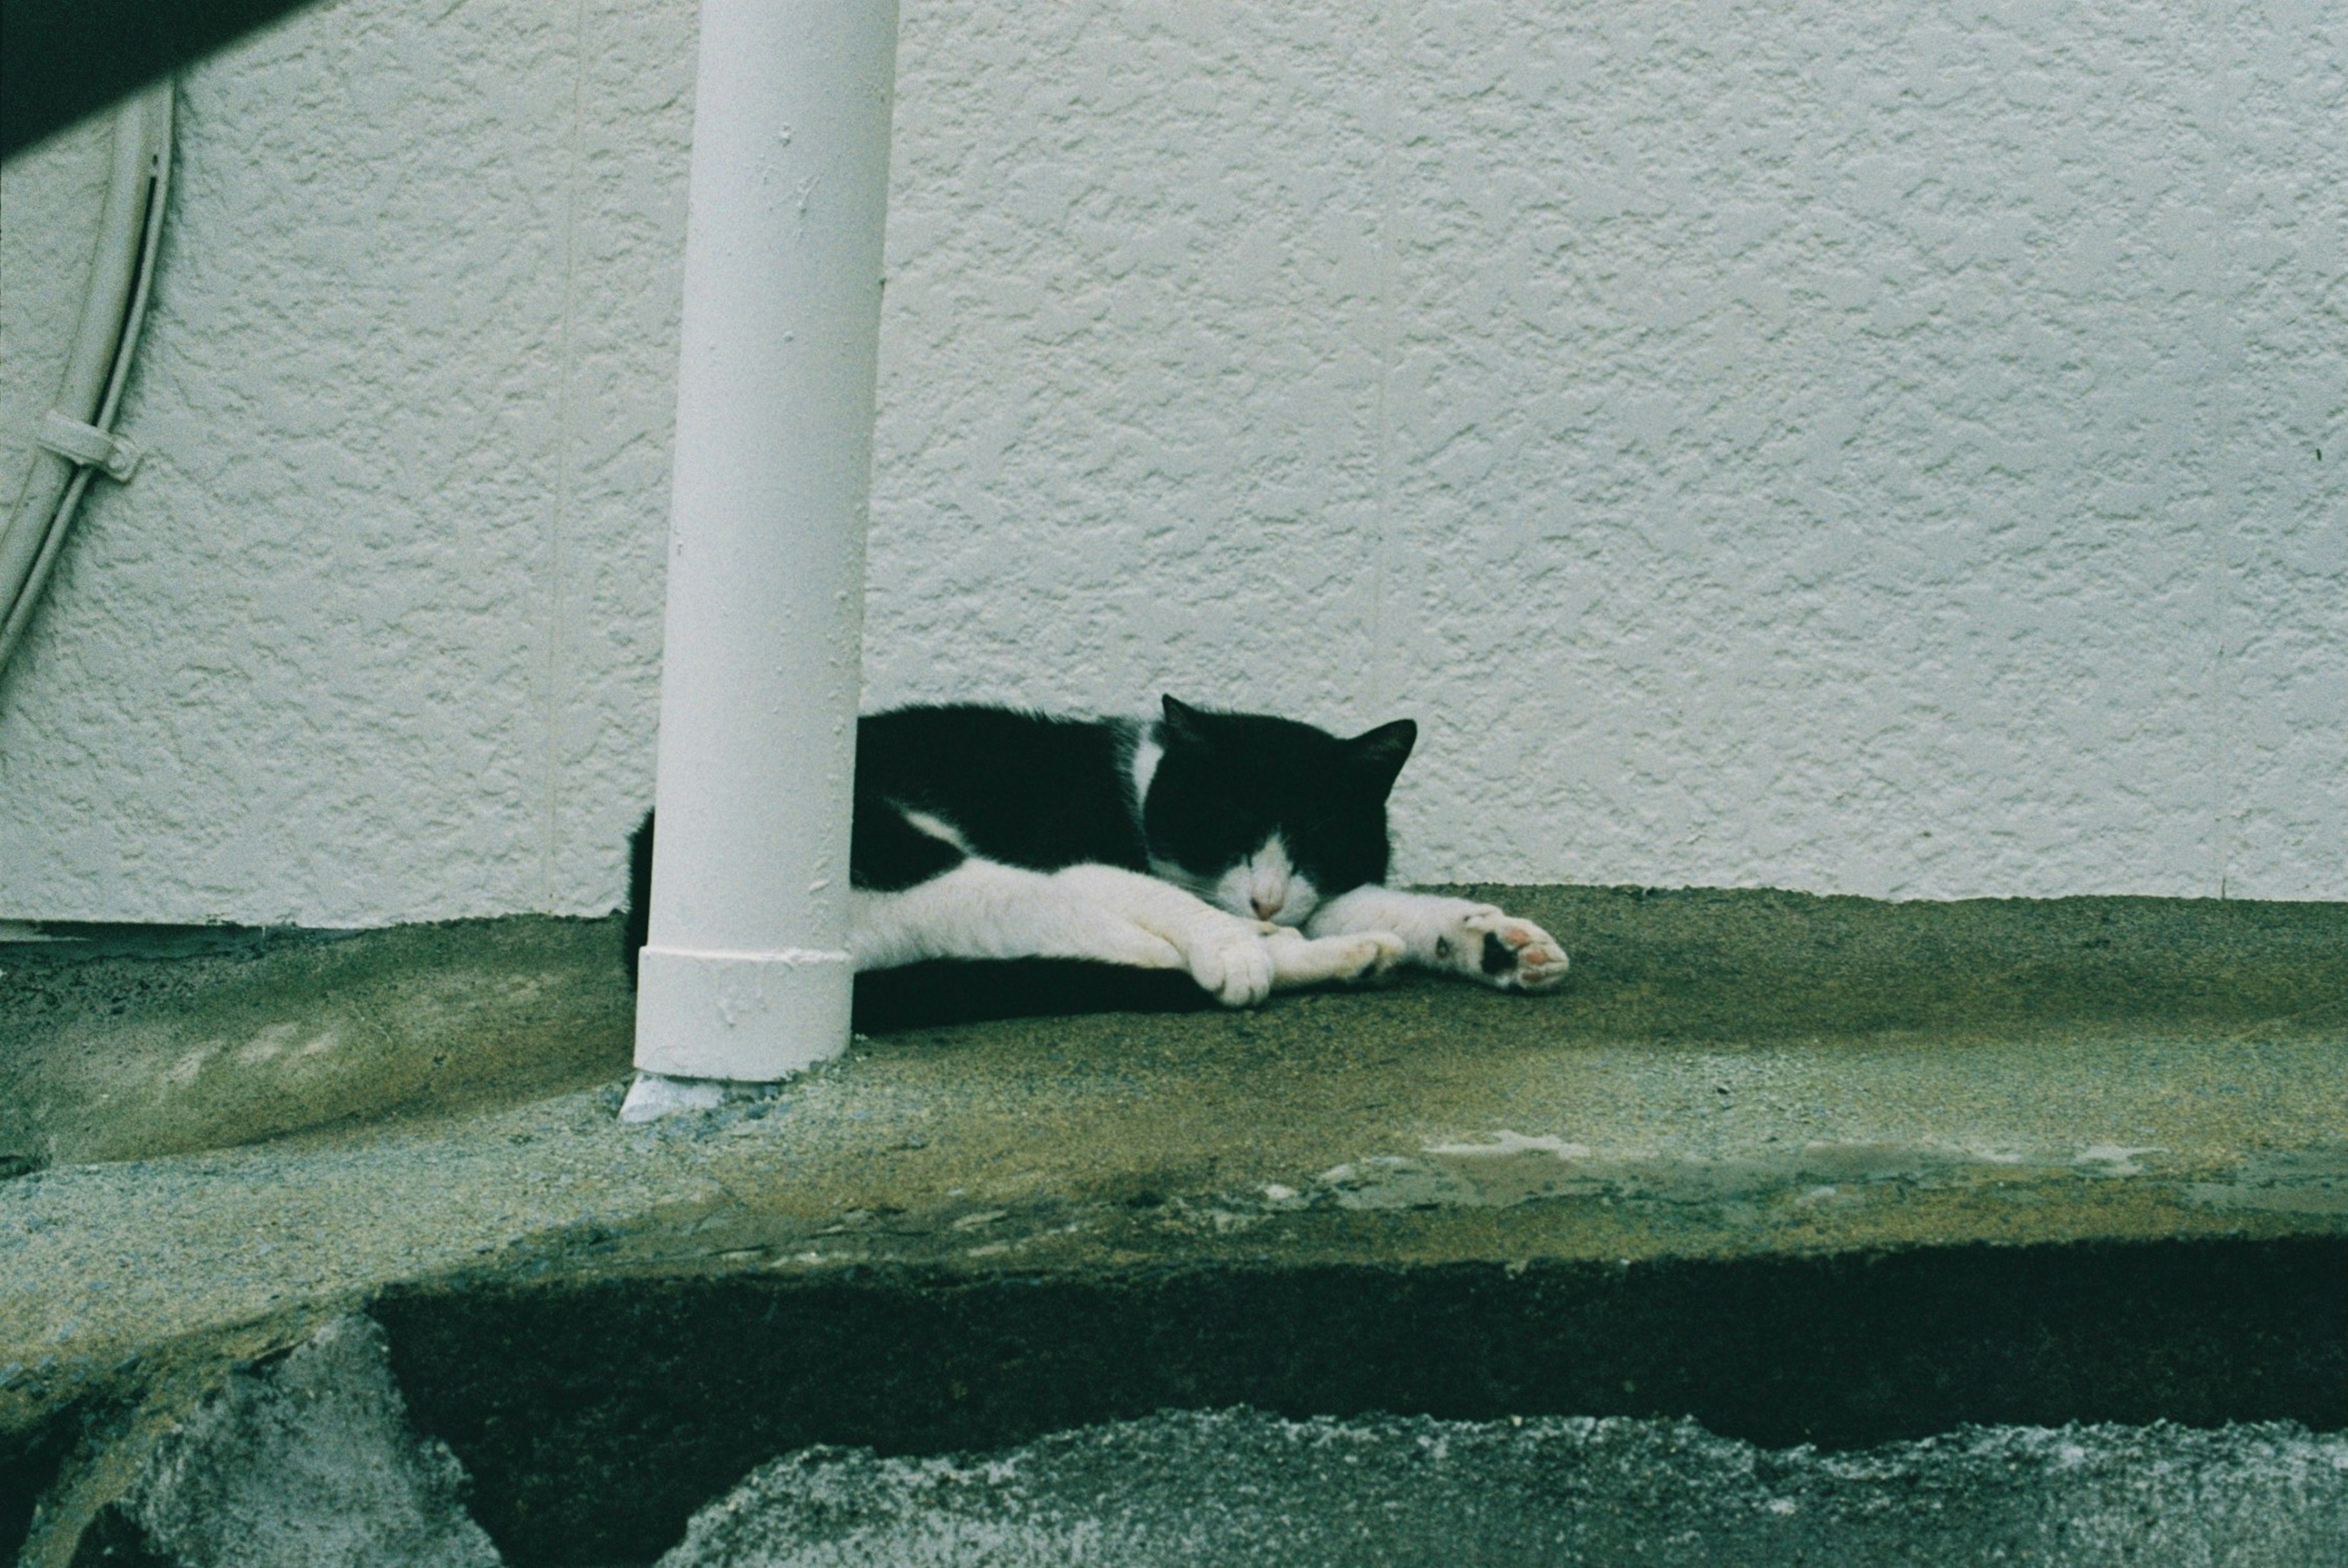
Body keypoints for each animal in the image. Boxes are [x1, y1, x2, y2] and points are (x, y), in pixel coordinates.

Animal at [633, 699, 1568, 1028]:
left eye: (1313, 839)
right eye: (1230, 827)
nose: (1267, 900)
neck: (1146, 788)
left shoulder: (1312, 890)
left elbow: (1371, 899)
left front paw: (1491, 940)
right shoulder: (1084, 859)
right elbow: (1192, 912)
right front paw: (1244, 949)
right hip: (942, 873)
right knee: (1132, 949)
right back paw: (1314, 959)